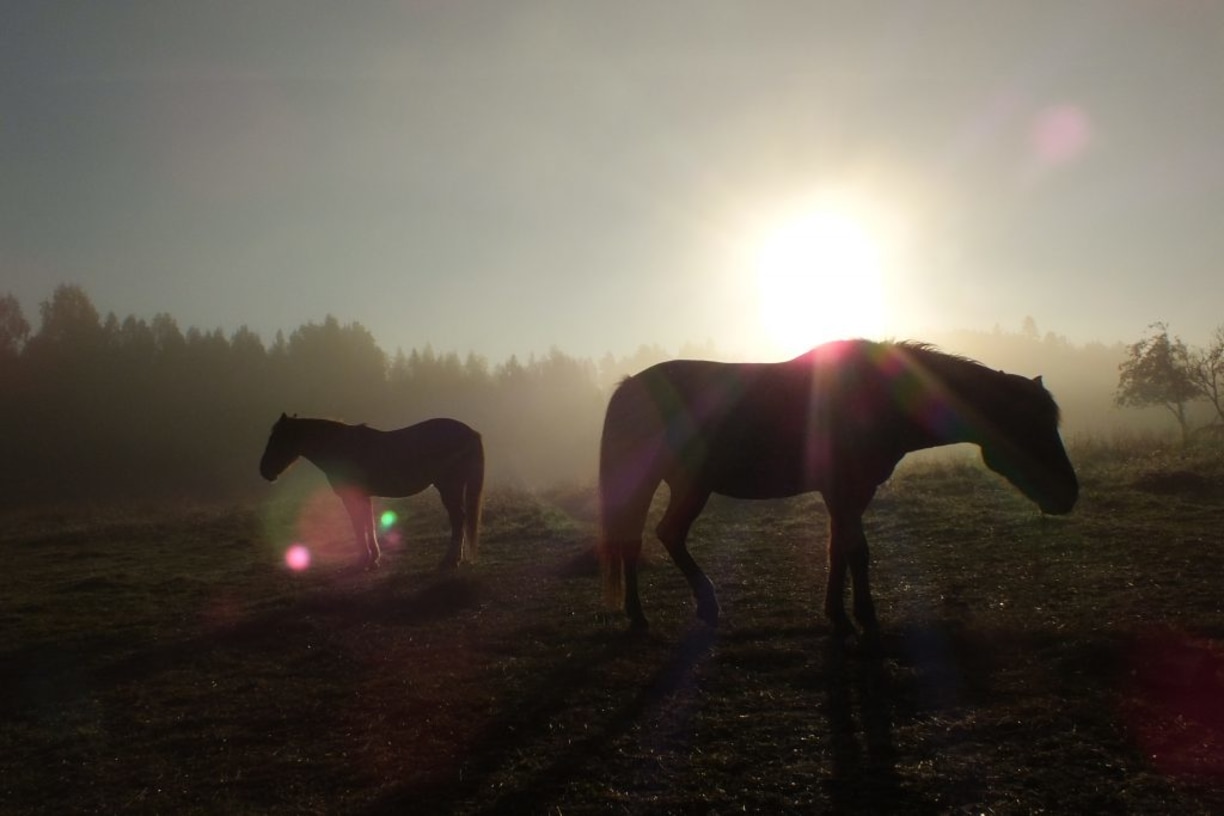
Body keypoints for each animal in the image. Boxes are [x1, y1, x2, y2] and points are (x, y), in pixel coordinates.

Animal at [260, 415, 484, 567]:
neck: (339, 447)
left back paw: (450, 560)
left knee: (458, 519)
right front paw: (374, 558)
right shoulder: (363, 496)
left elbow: (359, 526)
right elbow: (369, 524)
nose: (264, 471)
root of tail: (471, 432)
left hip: (449, 487)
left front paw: (363, 560)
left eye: (277, 439)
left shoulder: (351, 497)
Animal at [597, 337, 1077, 636]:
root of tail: (630, 387)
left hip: (686, 484)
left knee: (658, 536)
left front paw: (838, 615)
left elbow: (838, 550)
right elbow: (856, 552)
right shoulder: (845, 491)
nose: (1069, 494)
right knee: (643, 539)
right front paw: (865, 616)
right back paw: (654, 613)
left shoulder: (849, 494)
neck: (879, 398)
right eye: (1030, 426)